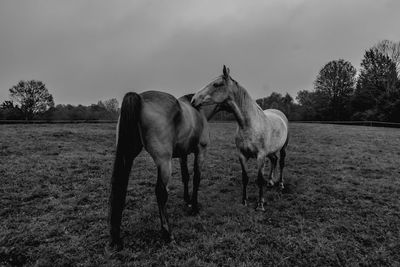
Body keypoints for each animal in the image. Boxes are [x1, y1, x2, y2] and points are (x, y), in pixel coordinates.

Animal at [108, 90, 217, 251]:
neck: (198, 110)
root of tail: (140, 98)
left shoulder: (183, 154)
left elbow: (185, 176)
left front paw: (187, 200)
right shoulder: (201, 151)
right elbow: (196, 178)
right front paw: (194, 207)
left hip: (127, 155)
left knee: (120, 187)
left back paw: (116, 237)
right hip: (164, 162)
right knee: (161, 192)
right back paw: (167, 233)